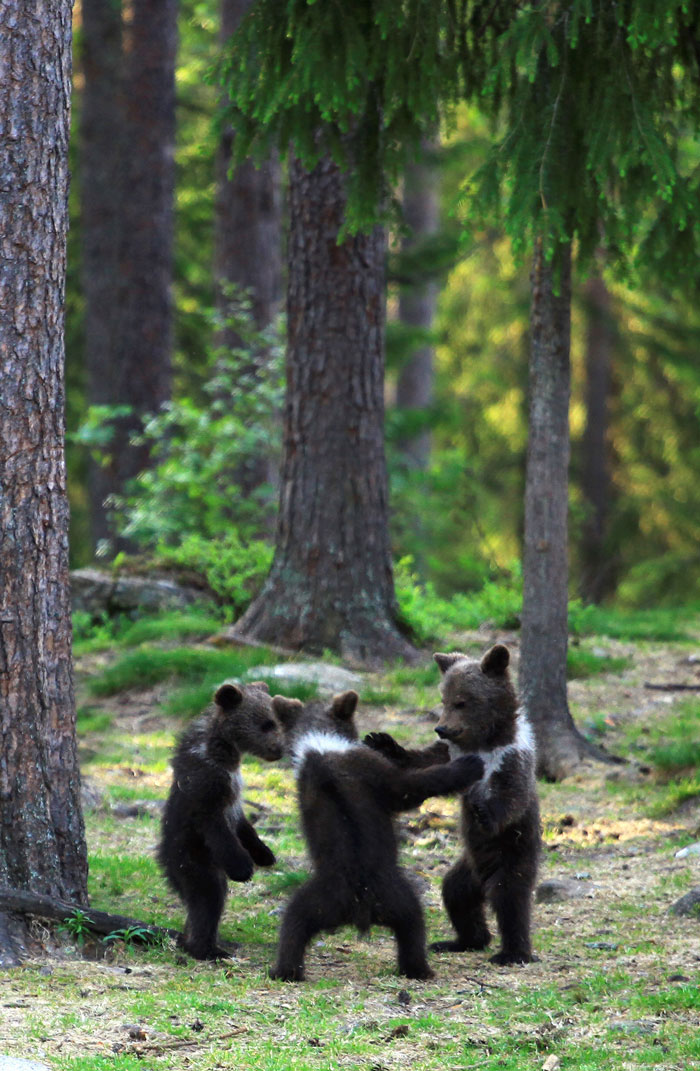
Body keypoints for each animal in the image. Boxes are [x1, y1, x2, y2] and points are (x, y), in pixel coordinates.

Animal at [157, 681, 285, 961]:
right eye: (266, 724)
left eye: (277, 721)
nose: (280, 749)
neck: (225, 753)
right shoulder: (207, 788)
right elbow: (217, 828)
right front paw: (244, 868)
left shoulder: (234, 790)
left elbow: (242, 824)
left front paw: (265, 854)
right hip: (192, 858)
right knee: (208, 896)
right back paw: (207, 949)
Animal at [267, 690, 485, 981]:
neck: (319, 743)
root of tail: (359, 908)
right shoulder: (374, 772)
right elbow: (411, 787)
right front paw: (468, 764)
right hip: (394, 895)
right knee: (414, 927)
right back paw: (420, 969)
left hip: (328, 904)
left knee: (295, 926)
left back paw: (286, 971)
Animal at [364, 643, 541, 965]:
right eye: (443, 700)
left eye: (462, 702)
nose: (441, 728)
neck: (483, 742)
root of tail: (484, 881)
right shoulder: (450, 754)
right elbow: (423, 763)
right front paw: (382, 742)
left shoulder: (511, 759)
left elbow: (512, 796)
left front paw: (483, 811)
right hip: (467, 870)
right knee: (456, 896)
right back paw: (462, 940)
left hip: (511, 854)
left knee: (511, 901)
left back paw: (512, 952)